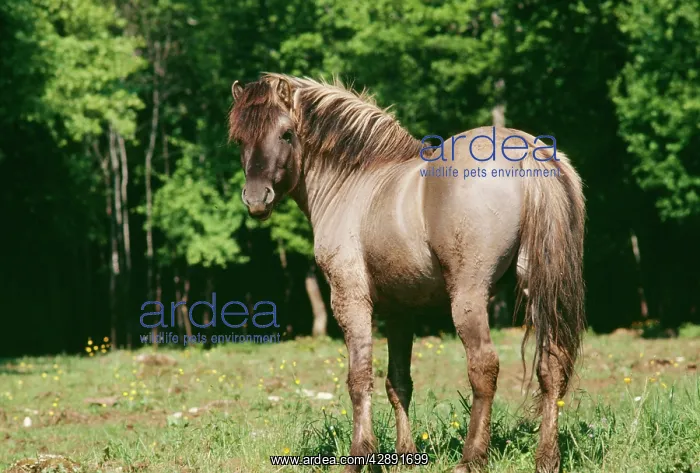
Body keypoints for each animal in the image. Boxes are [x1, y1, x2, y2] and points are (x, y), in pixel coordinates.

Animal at [228, 73, 585, 473]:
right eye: (239, 139)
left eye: (287, 134)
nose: (256, 198)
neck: (355, 180)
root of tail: (526, 152)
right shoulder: (401, 311)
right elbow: (397, 382)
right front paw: (405, 455)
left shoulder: (350, 298)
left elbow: (359, 378)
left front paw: (359, 456)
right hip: (538, 289)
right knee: (552, 365)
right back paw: (547, 459)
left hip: (469, 296)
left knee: (484, 368)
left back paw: (471, 459)